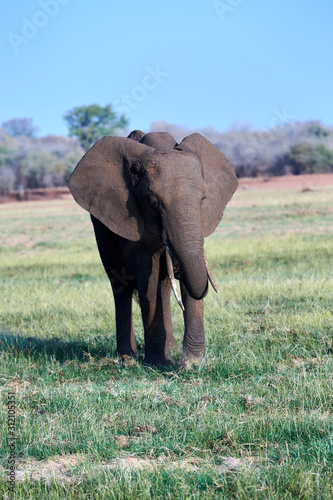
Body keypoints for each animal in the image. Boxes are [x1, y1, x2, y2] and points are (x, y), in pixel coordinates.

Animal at [68, 131, 236, 366]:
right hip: (102, 233)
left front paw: (192, 364)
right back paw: (127, 358)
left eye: (203, 198)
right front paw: (159, 364)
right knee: (120, 286)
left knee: (163, 286)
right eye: (151, 201)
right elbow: (148, 278)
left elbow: (187, 275)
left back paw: (170, 349)